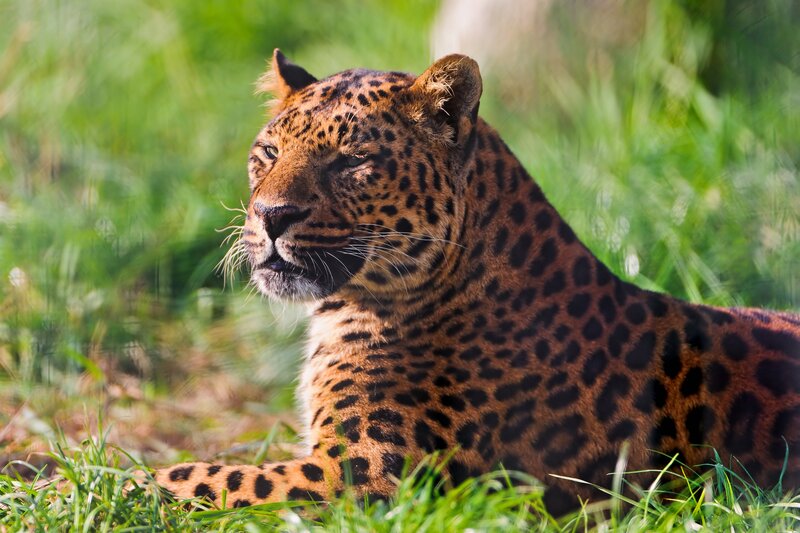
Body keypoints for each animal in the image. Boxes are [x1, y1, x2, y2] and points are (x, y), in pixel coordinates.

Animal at [155, 49, 800, 515]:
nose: (271, 215)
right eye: (267, 152)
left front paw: (130, 480)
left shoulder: (364, 479)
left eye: (352, 162)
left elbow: (197, 475)